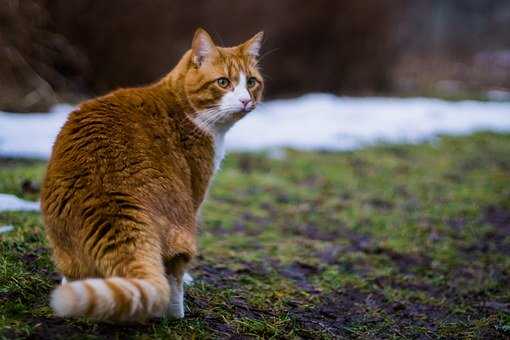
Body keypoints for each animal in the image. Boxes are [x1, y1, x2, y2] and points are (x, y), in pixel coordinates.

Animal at [39, 28, 262, 322]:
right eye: (223, 82)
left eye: (252, 82)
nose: (246, 100)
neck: (184, 109)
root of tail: (108, 196)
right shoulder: (197, 188)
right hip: (183, 224)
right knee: (171, 278)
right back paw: (176, 312)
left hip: (62, 241)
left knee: (73, 272)